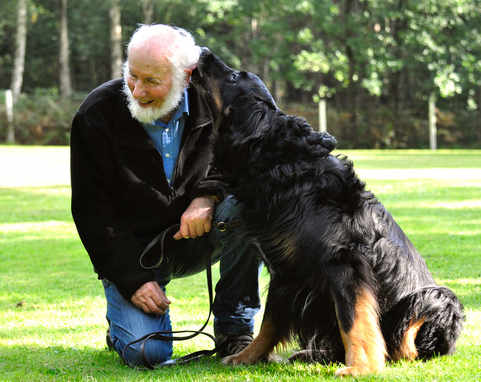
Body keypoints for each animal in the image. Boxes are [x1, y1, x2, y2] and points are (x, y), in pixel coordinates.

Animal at [190, 47, 462, 376]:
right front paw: (249, 355)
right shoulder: (285, 271)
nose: (203, 52)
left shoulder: (345, 264)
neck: (284, 166)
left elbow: (353, 319)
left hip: (437, 297)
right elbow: (270, 322)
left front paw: (361, 367)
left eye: (232, 77)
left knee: (407, 343)